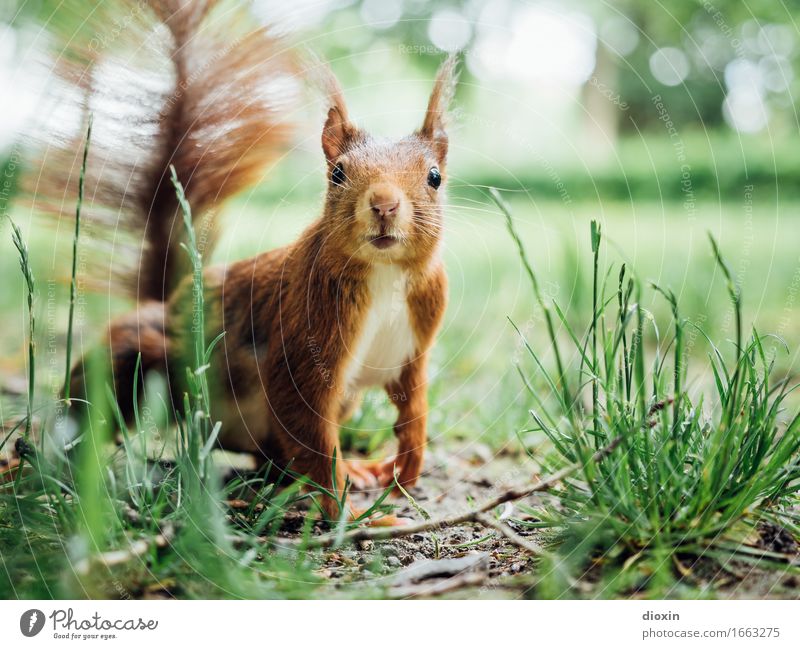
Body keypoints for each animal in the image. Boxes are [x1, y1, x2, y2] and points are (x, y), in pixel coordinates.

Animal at [26, 0, 456, 524]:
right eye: (337, 173)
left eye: (434, 176)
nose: (384, 204)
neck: (385, 273)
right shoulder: (304, 331)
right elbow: (306, 419)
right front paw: (346, 513)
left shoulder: (417, 338)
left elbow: (412, 403)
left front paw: (403, 468)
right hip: (152, 356)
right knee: (96, 396)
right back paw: (45, 459)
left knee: (274, 457)